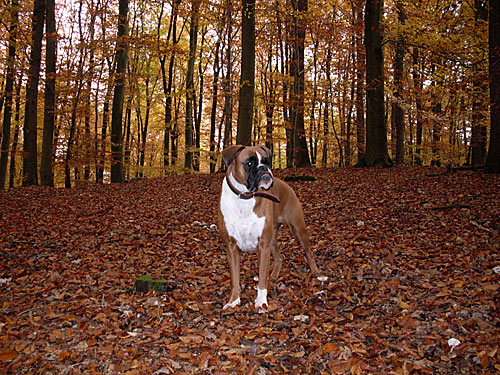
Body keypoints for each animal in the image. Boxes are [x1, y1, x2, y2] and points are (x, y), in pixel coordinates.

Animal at [217, 145, 318, 312]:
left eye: (267, 162)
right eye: (249, 163)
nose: (264, 168)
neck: (245, 198)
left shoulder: (262, 245)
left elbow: (262, 278)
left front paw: (261, 302)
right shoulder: (232, 247)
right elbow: (235, 279)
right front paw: (234, 301)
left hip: (297, 229)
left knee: (309, 251)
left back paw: (316, 272)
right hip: (272, 240)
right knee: (279, 257)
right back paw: (274, 277)